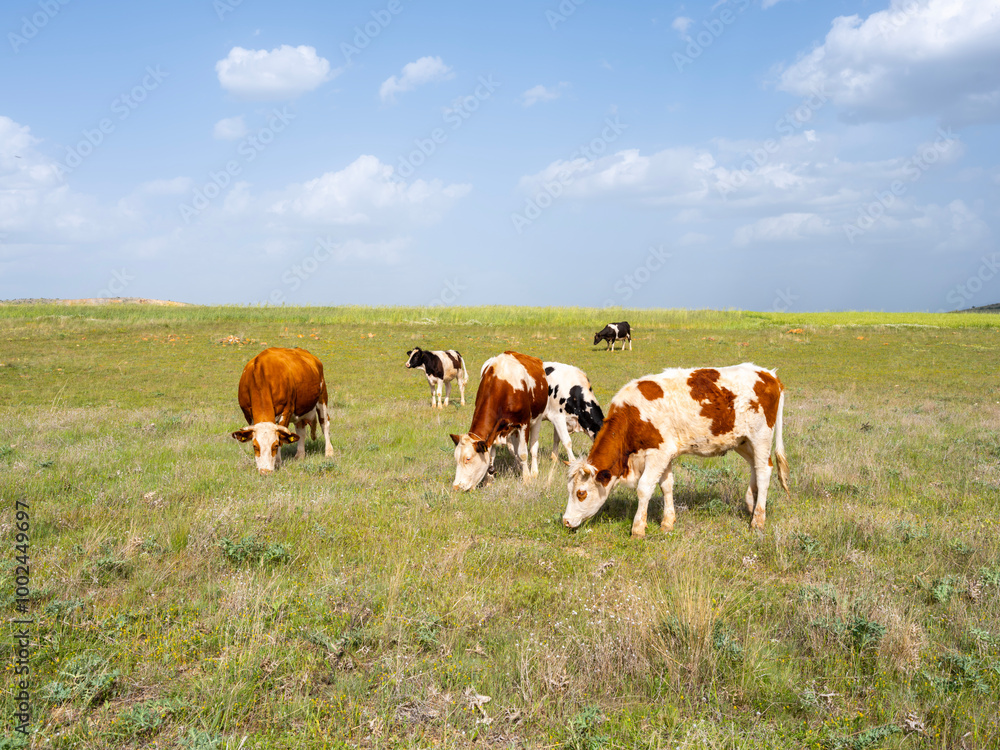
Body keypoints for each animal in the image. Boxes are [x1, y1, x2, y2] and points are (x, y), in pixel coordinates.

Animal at [450, 351, 548, 491]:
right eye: (456, 458)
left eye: (468, 458)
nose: (456, 487)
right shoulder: (494, 432)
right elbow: (492, 456)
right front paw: (488, 481)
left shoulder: (524, 423)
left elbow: (523, 453)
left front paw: (527, 479)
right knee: (514, 451)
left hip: (537, 419)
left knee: (533, 448)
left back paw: (533, 472)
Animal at [563, 363, 789, 536]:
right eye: (569, 490)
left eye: (581, 493)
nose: (565, 520)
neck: (633, 414)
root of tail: (769, 374)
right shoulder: (666, 454)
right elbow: (667, 486)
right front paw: (667, 523)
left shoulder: (658, 454)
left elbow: (644, 488)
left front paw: (638, 529)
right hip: (743, 441)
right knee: (756, 467)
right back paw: (751, 504)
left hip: (761, 436)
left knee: (763, 471)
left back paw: (758, 520)